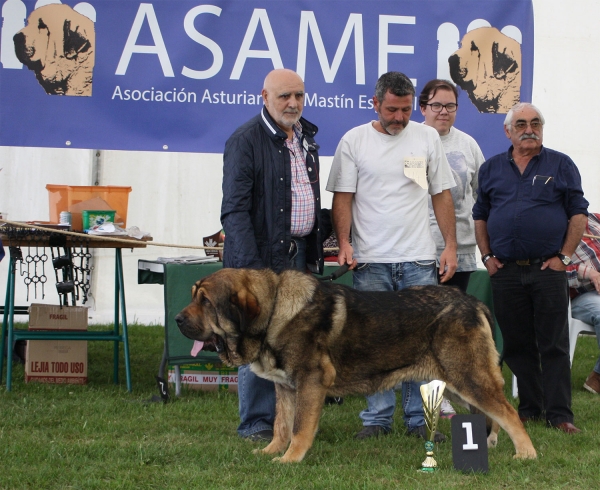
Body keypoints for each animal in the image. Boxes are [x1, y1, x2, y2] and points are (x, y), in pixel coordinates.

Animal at [176, 268, 536, 464]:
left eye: (205, 301)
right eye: (194, 297)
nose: (178, 319)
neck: (275, 309)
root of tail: (475, 303)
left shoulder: (310, 382)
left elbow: (300, 428)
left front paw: (291, 459)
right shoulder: (285, 387)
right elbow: (281, 426)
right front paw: (271, 452)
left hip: (467, 377)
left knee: (508, 412)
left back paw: (526, 453)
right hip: (457, 384)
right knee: (489, 415)